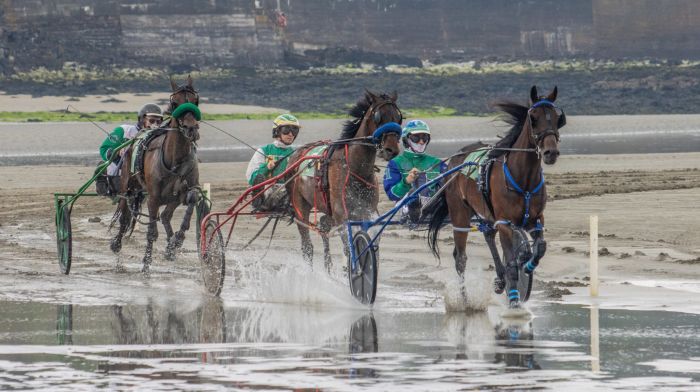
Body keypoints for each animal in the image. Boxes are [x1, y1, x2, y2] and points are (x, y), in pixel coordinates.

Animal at [109, 76, 201, 272]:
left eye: (195, 101)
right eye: (175, 103)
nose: (191, 129)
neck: (174, 159)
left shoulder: (188, 188)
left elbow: (192, 199)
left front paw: (177, 240)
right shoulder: (153, 197)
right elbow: (151, 232)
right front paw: (146, 263)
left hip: (172, 198)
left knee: (165, 216)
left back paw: (171, 246)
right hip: (127, 186)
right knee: (124, 215)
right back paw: (116, 244)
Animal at [286, 90, 402, 272]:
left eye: (398, 117)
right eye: (378, 117)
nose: (391, 149)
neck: (355, 168)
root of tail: (296, 155)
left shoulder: (366, 210)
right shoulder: (342, 213)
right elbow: (349, 248)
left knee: (324, 226)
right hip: (300, 205)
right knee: (307, 246)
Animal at [426, 86, 564, 310]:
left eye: (557, 117)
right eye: (533, 117)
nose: (550, 152)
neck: (523, 179)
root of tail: (456, 159)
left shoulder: (536, 219)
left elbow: (539, 249)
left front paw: (527, 264)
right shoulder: (505, 223)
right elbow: (511, 263)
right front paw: (514, 299)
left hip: (486, 214)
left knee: (488, 235)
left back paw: (500, 280)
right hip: (460, 215)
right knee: (460, 258)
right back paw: (465, 301)